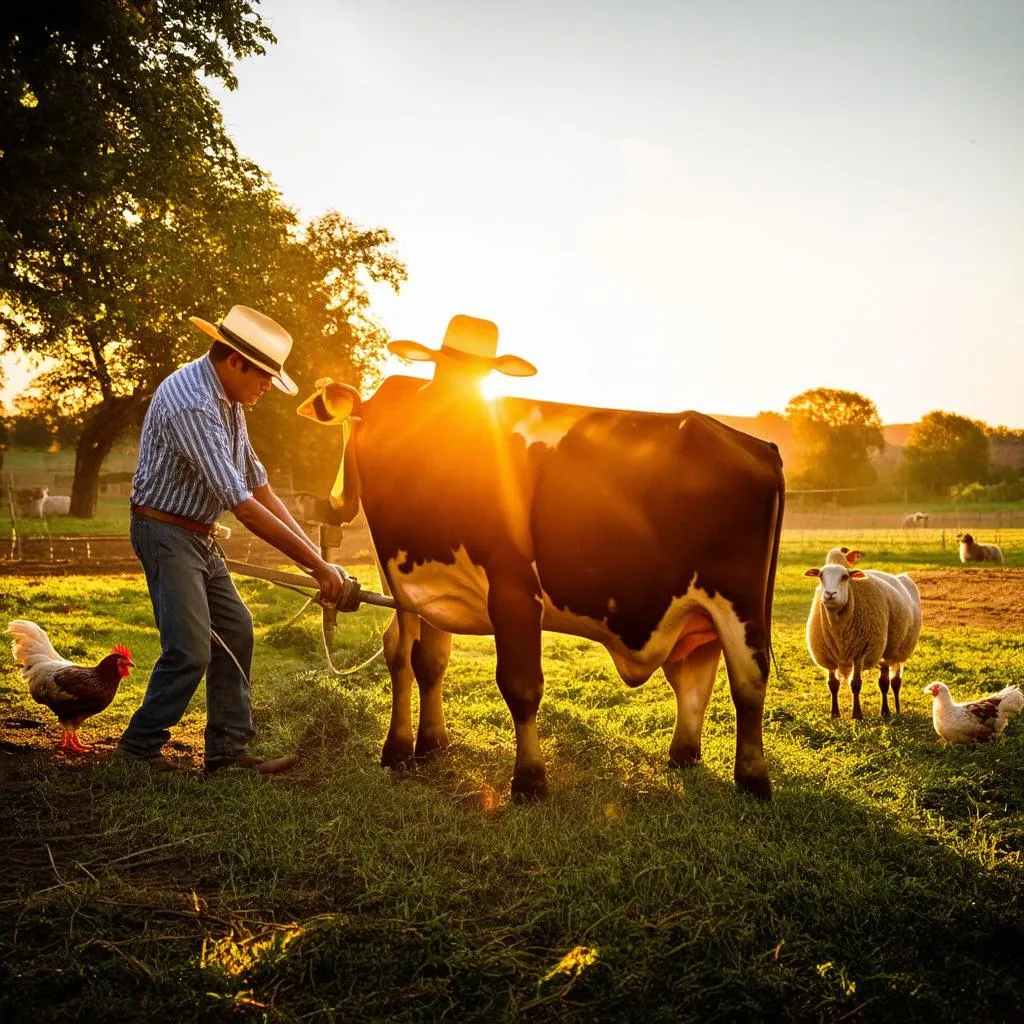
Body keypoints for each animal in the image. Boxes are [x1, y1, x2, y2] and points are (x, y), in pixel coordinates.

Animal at [296, 364, 782, 802]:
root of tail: (756, 445)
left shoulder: (512, 589)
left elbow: (520, 685)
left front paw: (529, 779)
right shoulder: (419, 588)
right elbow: (419, 660)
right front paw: (417, 745)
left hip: (740, 603)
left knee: (748, 681)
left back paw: (753, 777)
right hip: (700, 609)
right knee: (696, 676)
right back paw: (683, 754)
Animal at [802, 561, 925, 720]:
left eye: (845, 577)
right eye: (820, 576)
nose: (829, 594)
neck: (838, 628)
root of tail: (901, 576)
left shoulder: (860, 653)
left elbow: (856, 684)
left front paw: (857, 714)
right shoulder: (828, 658)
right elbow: (833, 684)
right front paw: (834, 714)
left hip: (899, 650)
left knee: (895, 682)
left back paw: (894, 710)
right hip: (882, 651)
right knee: (884, 682)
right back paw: (885, 711)